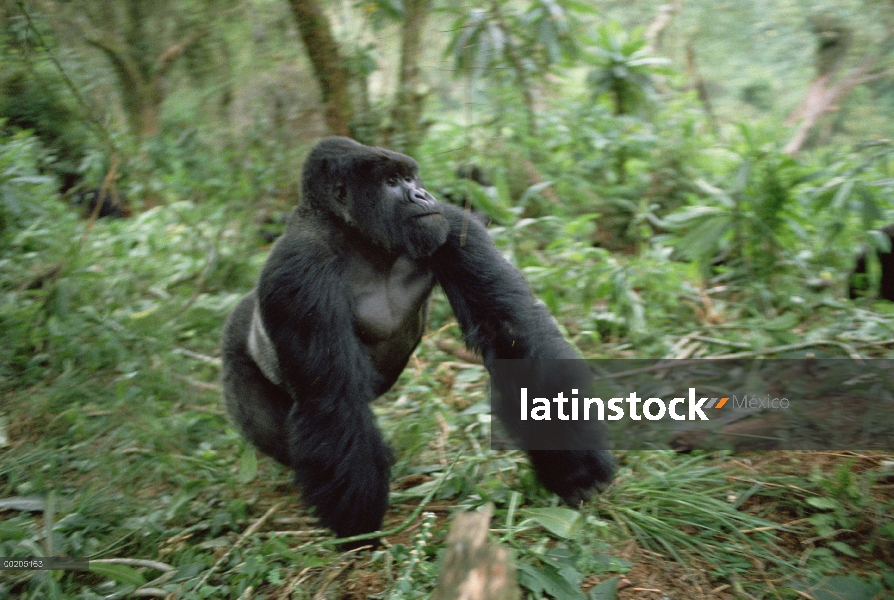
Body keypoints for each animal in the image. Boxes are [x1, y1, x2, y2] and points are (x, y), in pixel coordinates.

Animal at [222, 137, 616, 544]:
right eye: (392, 181)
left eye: (410, 176)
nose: (422, 194)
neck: (356, 236)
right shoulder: (300, 271)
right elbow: (332, 395)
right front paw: (358, 526)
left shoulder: (453, 224)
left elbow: (512, 333)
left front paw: (575, 468)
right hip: (236, 357)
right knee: (272, 429)